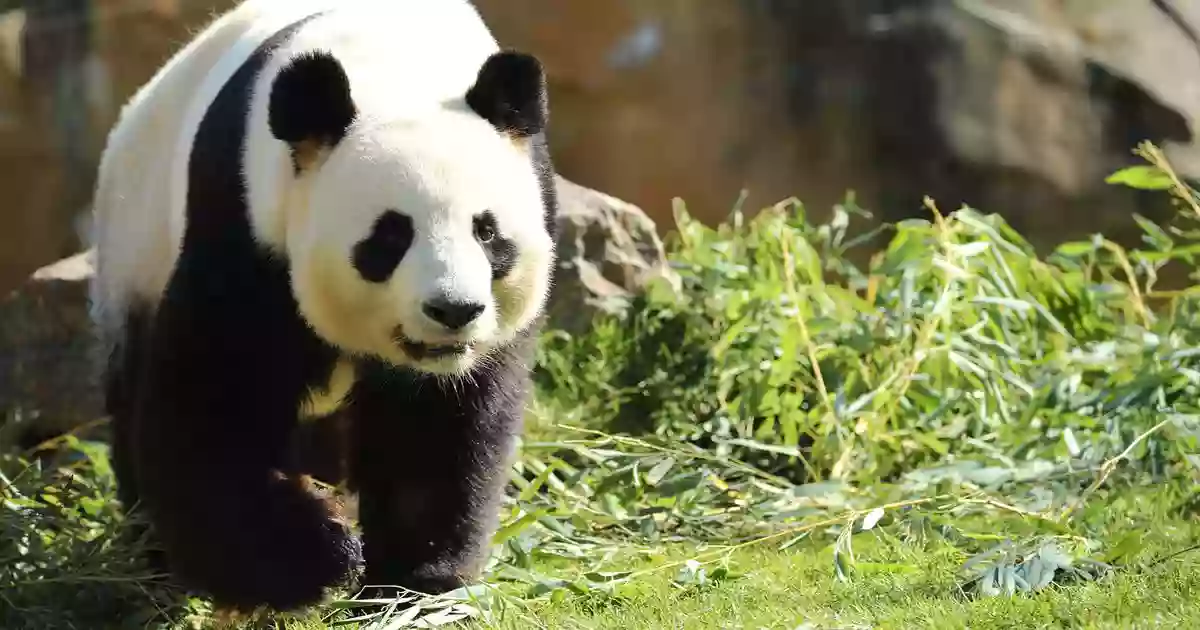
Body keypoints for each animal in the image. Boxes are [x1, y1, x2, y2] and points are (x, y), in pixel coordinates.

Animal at [88, 0, 556, 612]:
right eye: (389, 237)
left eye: (487, 232)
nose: (453, 310)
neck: (398, 68)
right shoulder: (246, 223)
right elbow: (213, 404)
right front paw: (317, 557)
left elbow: (437, 432)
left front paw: (416, 577)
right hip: (136, 246)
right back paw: (156, 557)